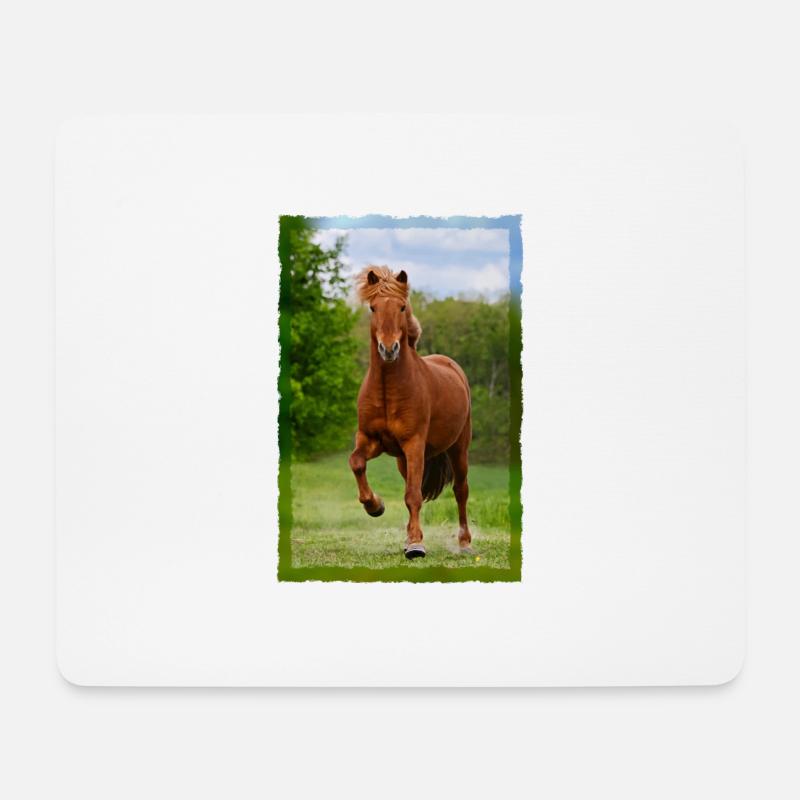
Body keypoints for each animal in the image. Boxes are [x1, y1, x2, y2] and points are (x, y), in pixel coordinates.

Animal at [348, 266, 473, 559]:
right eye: (373, 308)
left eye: (402, 307)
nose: (389, 349)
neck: (387, 390)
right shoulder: (370, 440)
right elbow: (357, 462)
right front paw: (375, 506)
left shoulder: (414, 444)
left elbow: (413, 495)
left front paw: (416, 545)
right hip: (403, 460)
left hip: (458, 449)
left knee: (460, 490)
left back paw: (464, 542)